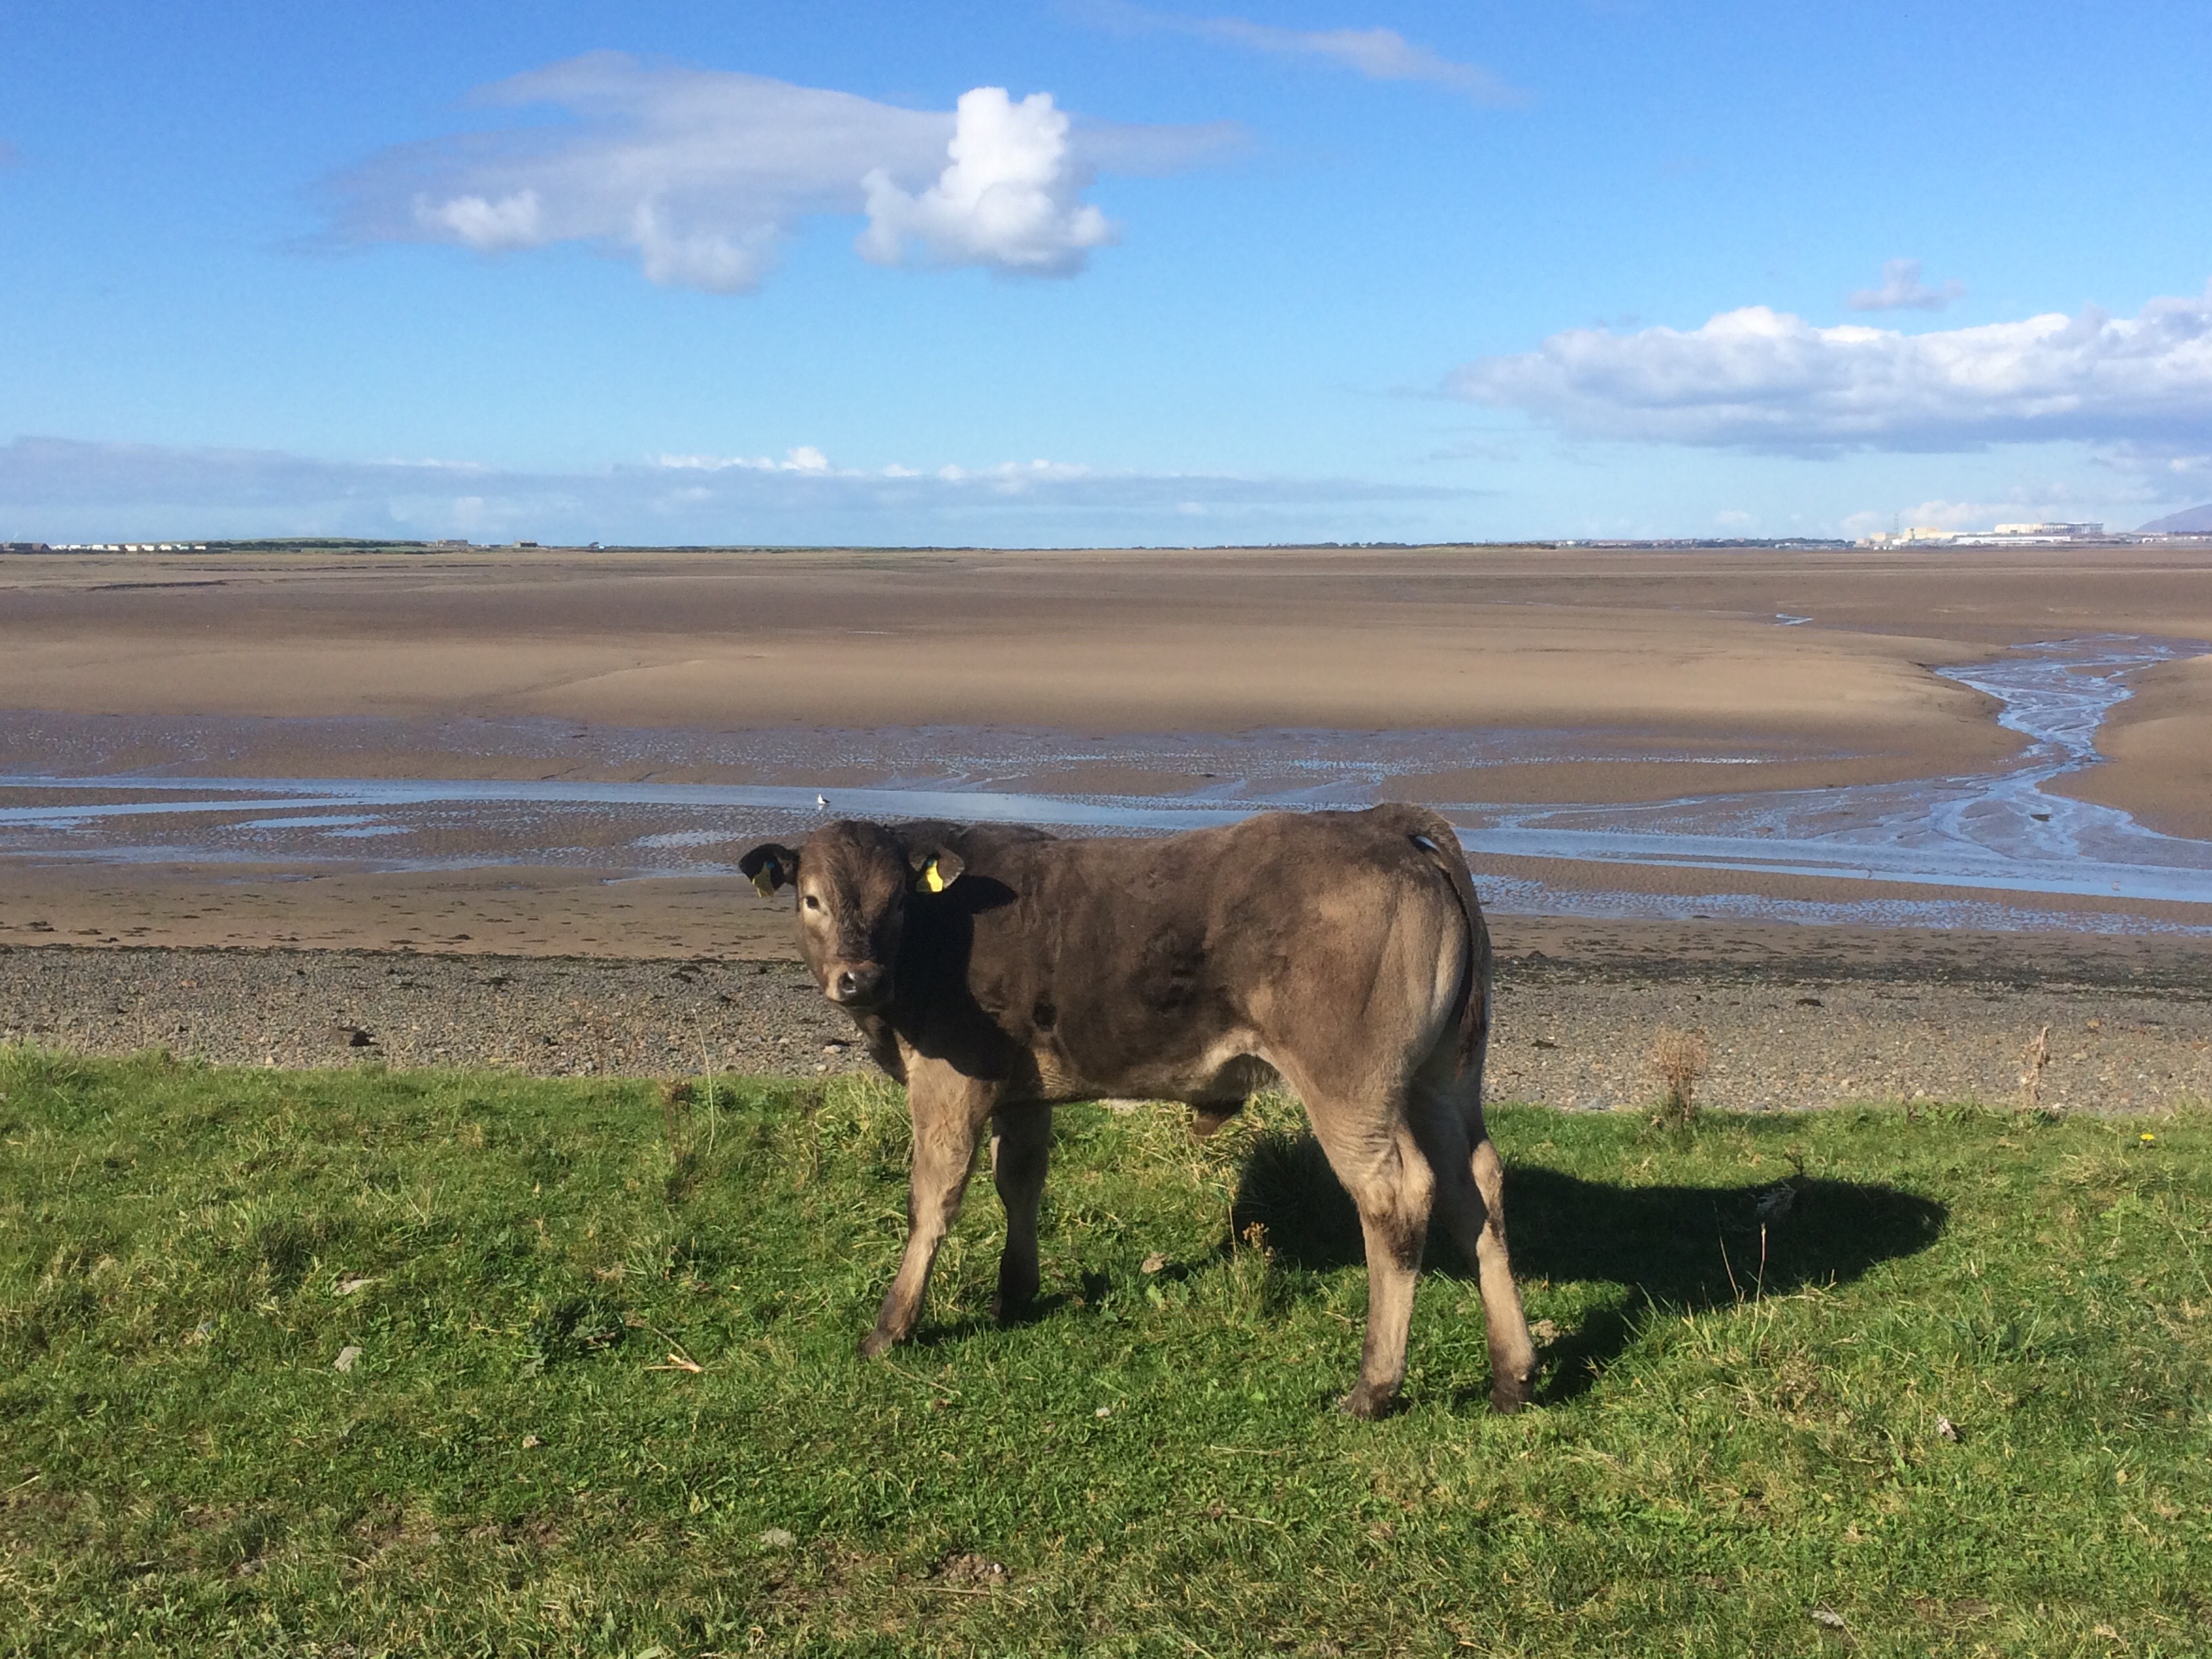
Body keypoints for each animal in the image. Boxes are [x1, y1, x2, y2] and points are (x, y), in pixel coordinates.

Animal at [739, 804, 1537, 1416]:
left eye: (898, 901)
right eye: (812, 899)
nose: (859, 977)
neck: (941, 936)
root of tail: (1378, 824)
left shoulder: (949, 1079)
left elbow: (931, 1201)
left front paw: (892, 1325)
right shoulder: (1022, 1091)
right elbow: (1019, 1183)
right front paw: (1015, 1293)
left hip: (1352, 1087)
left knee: (1398, 1196)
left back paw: (1374, 1386)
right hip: (1443, 1078)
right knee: (1476, 1189)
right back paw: (1514, 1374)